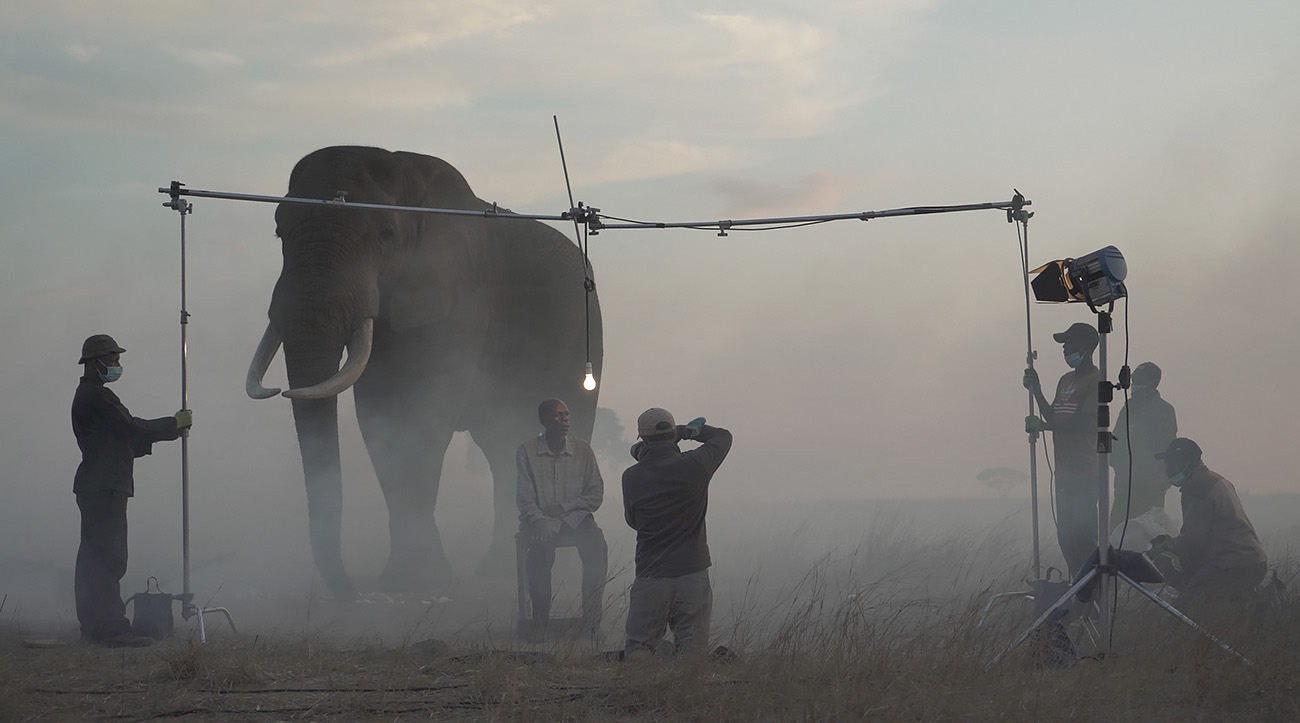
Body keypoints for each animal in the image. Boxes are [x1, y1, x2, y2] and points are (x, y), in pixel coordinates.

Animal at [245, 146, 600, 598]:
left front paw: (420, 584)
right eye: (279, 233)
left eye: (385, 236)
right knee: (503, 442)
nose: (354, 592)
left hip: (584, 334)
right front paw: (403, 585)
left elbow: (419, 414)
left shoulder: (459, 293)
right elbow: (381, 417)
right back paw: (496, 569)